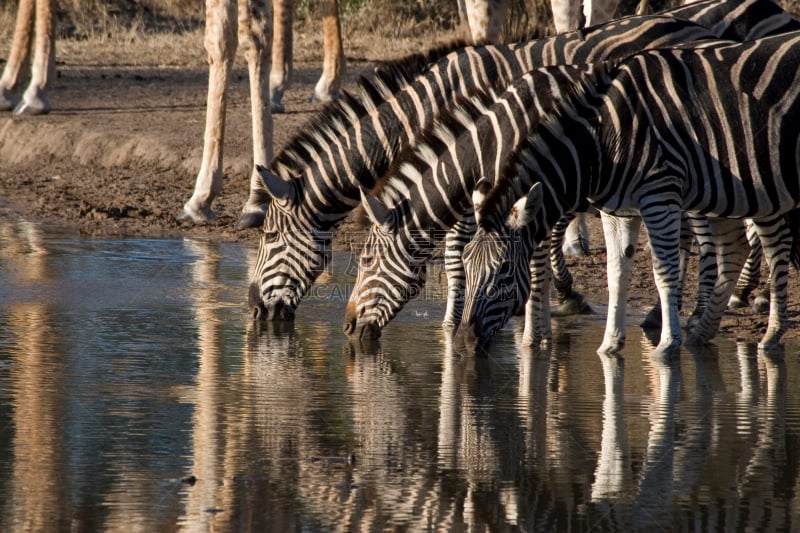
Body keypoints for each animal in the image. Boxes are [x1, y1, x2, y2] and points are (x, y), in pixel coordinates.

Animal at [248, 0, 792, 322]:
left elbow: (460, 249)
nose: (252, 307)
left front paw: (459, 317)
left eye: (269, 236)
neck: (435, 106)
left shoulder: (476, 168)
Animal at [454, 33, 800, 358]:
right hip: (738, 190)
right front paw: (609, 346)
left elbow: (663, 272)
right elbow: (616, 274)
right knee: (740, 248)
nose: (462, 343)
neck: (600, 141)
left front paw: (666, 346)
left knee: (773, 249)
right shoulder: (617, 210)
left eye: (503, 270)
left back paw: (768, 335)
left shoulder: (659, 194)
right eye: (466, 265)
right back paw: (704, 333)